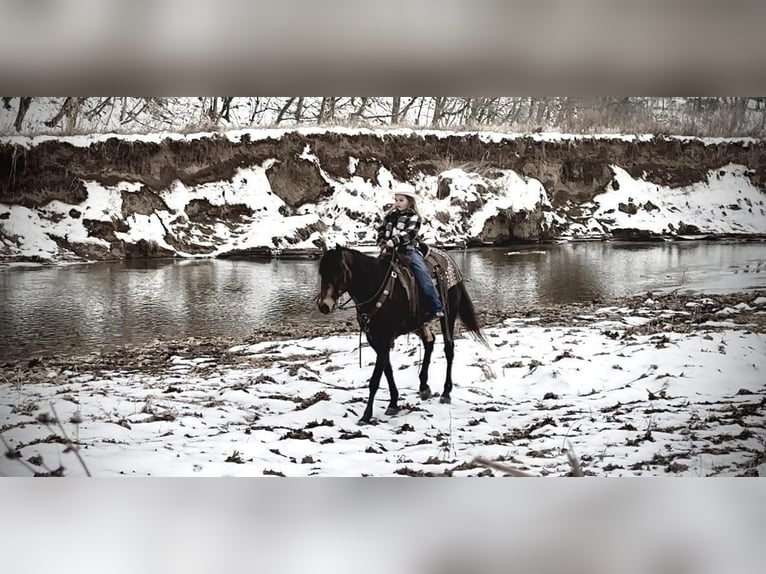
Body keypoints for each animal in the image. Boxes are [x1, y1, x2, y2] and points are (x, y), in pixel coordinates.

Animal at [316, 245, 486, 426]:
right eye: (322, 272)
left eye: (338, 271)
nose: (323, 305)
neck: (374, 285)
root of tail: (449, 260)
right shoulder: (376, 340)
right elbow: (387, 371)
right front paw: (393, 403)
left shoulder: (384, 340)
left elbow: (375, 379)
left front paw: (366, 415)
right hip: (419, 323)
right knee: (429, 342)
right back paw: (424, 387)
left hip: (448, 314)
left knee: (449, 349)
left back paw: (446, 392)